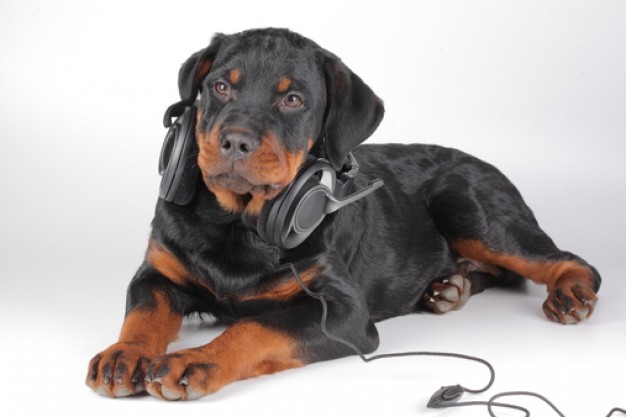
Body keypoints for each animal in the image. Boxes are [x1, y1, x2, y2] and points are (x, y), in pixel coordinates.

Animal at [85, 28, 596, 400]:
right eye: (220, 86)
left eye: (292, 100)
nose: (234, 142)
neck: (238, 225)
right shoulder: (158, 270)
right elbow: (145, 311)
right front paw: (124, 355)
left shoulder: (341, 311)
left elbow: (254, 327)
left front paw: (195, 359)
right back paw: (449, 289)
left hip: (469, 208)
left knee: (561, 261)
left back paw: (569, 294)